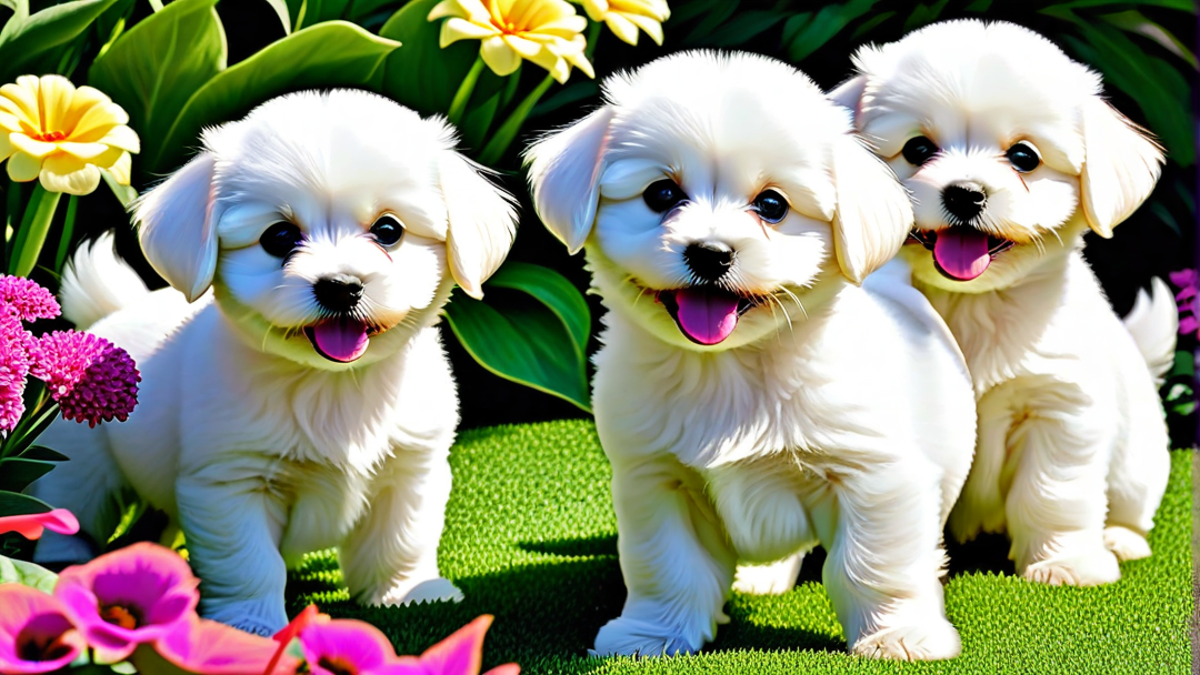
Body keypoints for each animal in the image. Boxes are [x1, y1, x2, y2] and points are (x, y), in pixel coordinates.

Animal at [29, 88, 516, 629]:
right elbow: (249, 561)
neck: (334, 386)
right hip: (81, 459)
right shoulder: (231, 482)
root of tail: (109, 316)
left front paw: (408, 593)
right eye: (279, 237)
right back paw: (63, 561)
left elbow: (400, 540)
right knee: (70, 507)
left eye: (388, 230)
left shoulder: (410, 469)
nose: (340, 285)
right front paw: (251, 624)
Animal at [525, 51, 974, 658]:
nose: (710, 252)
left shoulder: (877, 476)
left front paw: (897, 635)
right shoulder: (655, 478)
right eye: (661, 195)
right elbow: (668, 565)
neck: (730, 369)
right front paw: (653, 633)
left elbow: (871, 566)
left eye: (772, 205)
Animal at [830, 19, 1176, 583]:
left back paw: (1120, 540)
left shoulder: (1061, 406)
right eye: (918, 149)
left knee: (1131, 506)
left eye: (1024, 158)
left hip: (1137, 462)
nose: (965, 192)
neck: (968, 306)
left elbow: (1052, 493)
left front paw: (1064, 563)